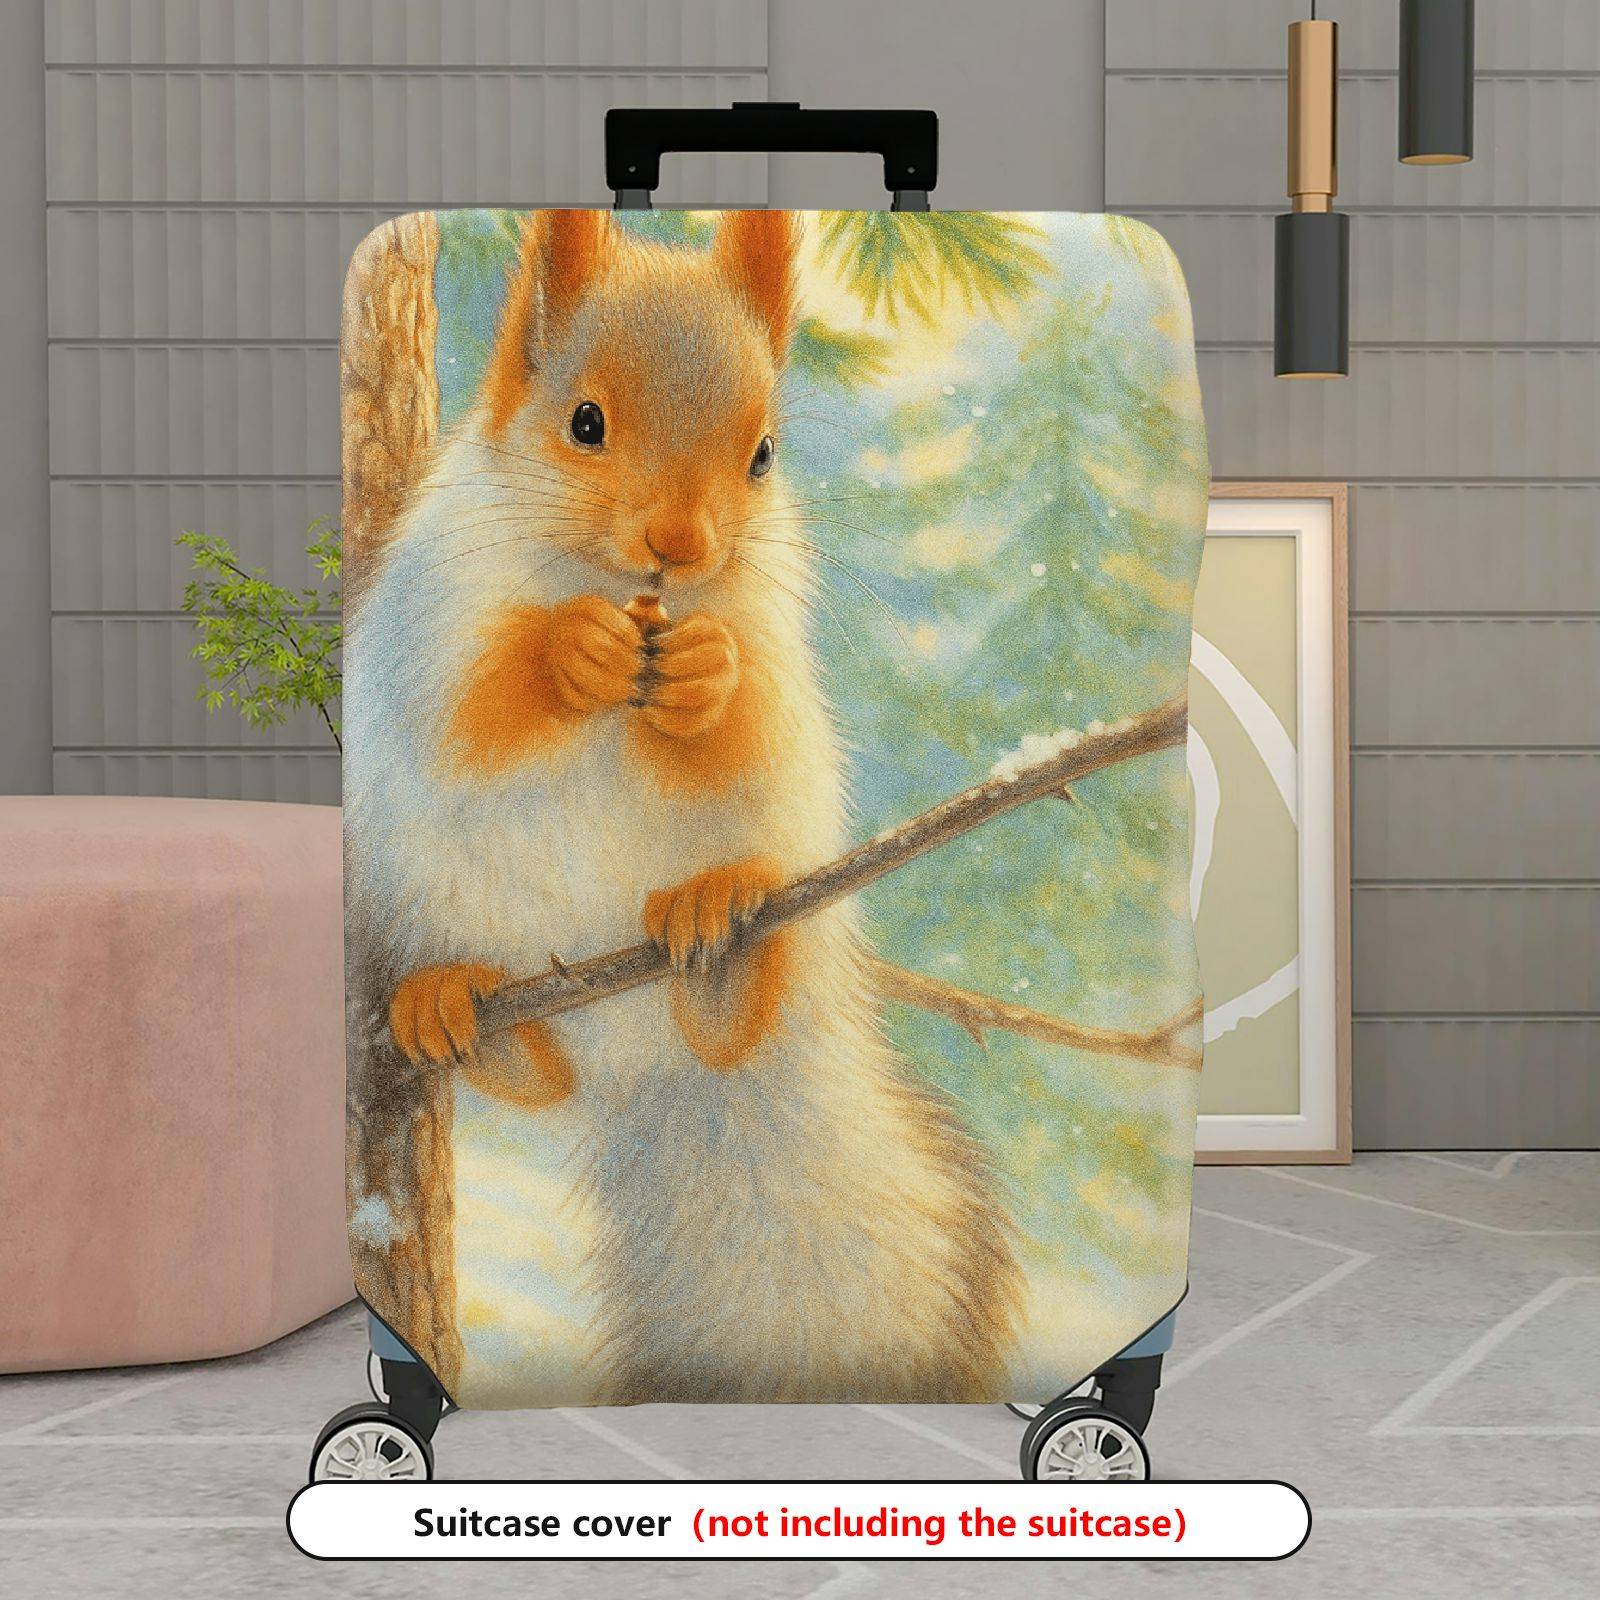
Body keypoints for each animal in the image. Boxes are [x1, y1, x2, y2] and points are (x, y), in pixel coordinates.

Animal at [343, 209, 1020, 1404]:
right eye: (584, 423)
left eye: (763, 454)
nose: (683, 546)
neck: (608, 582)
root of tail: (639, 1061)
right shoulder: (428, 618)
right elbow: (469, 712)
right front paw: (568, 654)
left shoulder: (767, 625)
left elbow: (740, 716)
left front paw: (704, 673)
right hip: (424, 898)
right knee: (537, 1073)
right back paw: (453, 1004)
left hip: (786, 880)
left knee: (727, 1016)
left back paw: (718, 936)